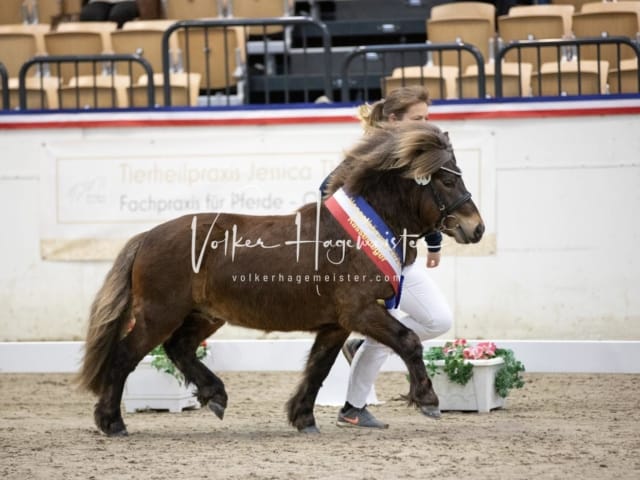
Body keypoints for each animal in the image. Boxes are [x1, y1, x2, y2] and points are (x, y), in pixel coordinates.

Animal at [77, 121, 482, 436]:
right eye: (447, 180)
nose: (476, 228)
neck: (359, 232)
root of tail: (146, 237)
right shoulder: (360, 311)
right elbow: (408, 341)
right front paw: (428, 400)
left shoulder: (336, 323)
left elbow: (319, 367)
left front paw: (303, 418)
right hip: (159, 314)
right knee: (126, 355)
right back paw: (112, 422)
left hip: (204, 314)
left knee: (179, 348)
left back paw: (215, 395)